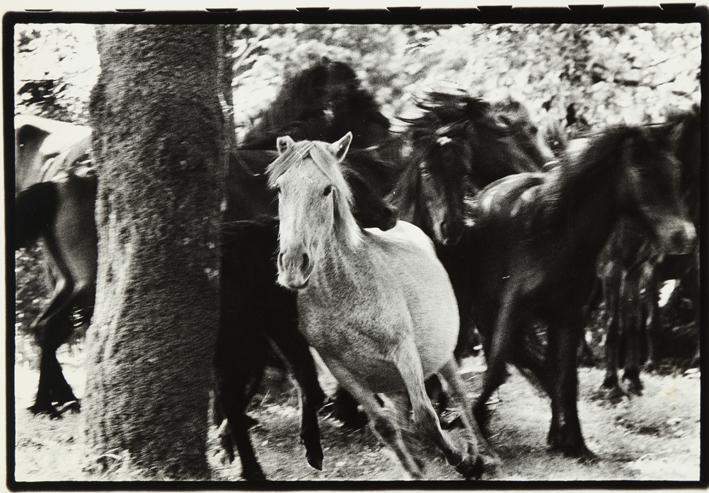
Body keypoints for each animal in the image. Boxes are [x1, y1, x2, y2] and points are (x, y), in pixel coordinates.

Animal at [268, 133, 496, 478]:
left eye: (327, 189)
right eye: (281, 188)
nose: (294, 264)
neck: (344, 294)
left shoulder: (404, 352)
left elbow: (426, 417)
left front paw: (466, 460)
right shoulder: (339, 367)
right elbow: (384, 426)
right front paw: (415, 470)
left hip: (442, 358)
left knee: (459, 397)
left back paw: (485, 453)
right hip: (389, 381)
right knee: (400, 414)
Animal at [468, 123, 696, 458]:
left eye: (676, 170)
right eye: (642, 172)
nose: (685, 237)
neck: (555, 235)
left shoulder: (570, 315)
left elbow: (567, 378)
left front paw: (575, 442)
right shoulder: (513, 309)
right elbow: (498, 367)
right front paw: (478, 431)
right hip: (486, 311)